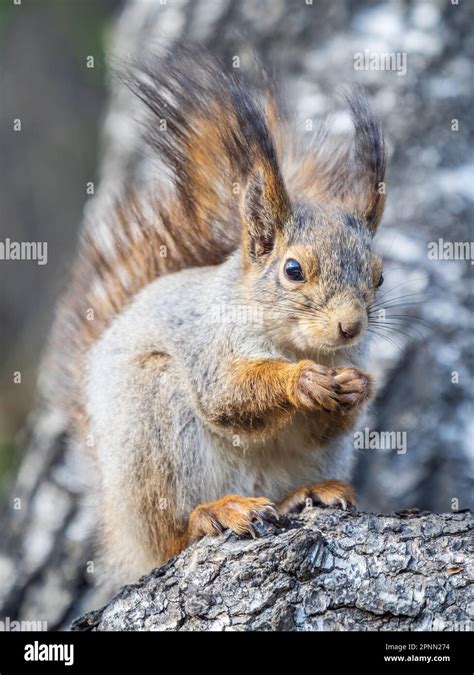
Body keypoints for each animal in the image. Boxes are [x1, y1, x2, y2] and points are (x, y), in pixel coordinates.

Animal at [45, 47, 386, 588]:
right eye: (293, 270)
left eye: (379, 277)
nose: (350, 327)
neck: (294, 342)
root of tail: (121, 532)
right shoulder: (210, 342)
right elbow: (228, 393)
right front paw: (301, 380)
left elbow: (324, 423)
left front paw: (358, 387)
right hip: (154, 424)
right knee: (171, 536)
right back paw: (214, 514)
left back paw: (304, 495)